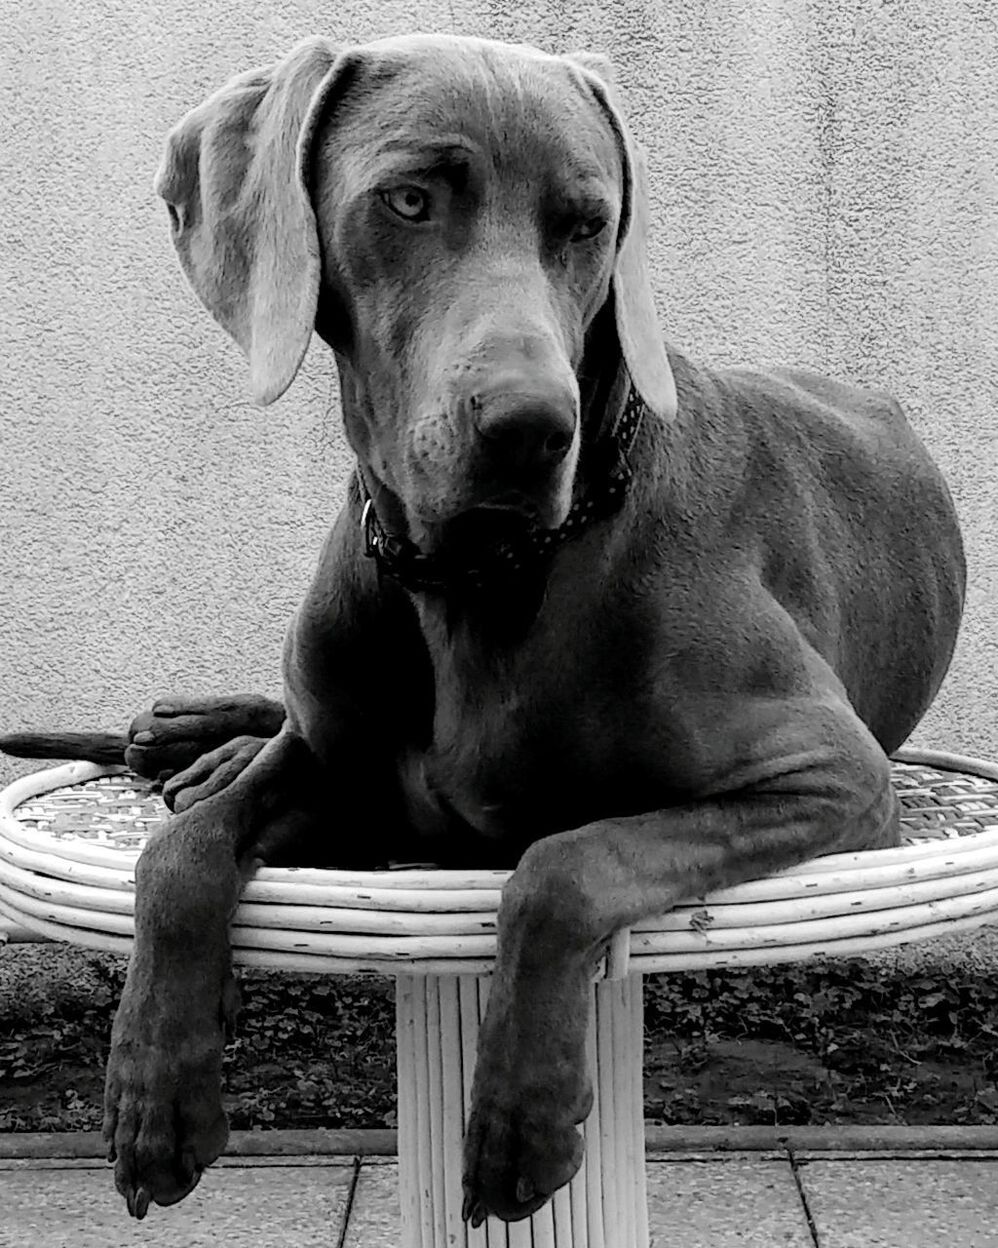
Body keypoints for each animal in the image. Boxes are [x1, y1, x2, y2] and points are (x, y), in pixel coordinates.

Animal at [1, 31, 968, 1228]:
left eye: (588, 223)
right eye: (409, 199)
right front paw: (152, 1098)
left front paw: (521, 1119)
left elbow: (563, 863)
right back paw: (199, 741)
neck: (471, 578)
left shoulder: (832, 776)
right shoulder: (332, 765)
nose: (530, 428)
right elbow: (179, 855)